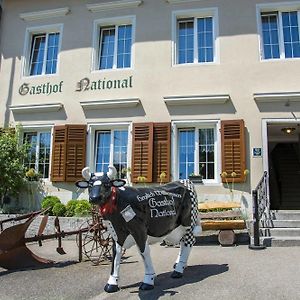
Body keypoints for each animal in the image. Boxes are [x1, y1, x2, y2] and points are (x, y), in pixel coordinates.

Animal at [75, 164, 202, 292]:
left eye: (107, 184)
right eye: (90, 184)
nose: (94, 198)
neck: (118, 202)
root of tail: (185, 181)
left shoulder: (139, 230)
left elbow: (144, 252)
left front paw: (148, 280)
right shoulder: (116, 232)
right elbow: (116, 253)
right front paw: (112, 282)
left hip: (188, 223)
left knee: (188, 242)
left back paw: (178, 270)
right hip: (176, 227)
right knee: (182, 243)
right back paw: (179, 264)